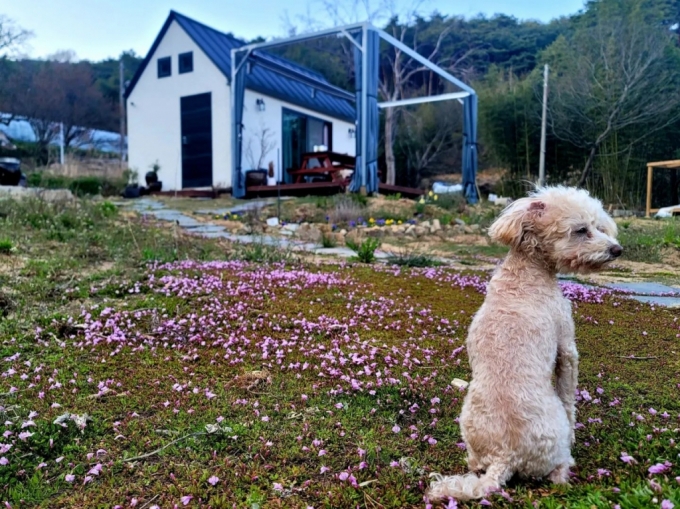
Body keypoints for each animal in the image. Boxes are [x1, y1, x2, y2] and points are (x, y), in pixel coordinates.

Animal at [428, 187, 624, 500]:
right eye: (582, 230)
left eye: (599, 226)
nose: (617, 250)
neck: (525, 274)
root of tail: (504, 456)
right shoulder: (567, 348)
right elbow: (569, 396)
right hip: (552, 440)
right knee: (557, 470)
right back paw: (566, 469)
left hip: (468, 424)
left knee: (474, 462)